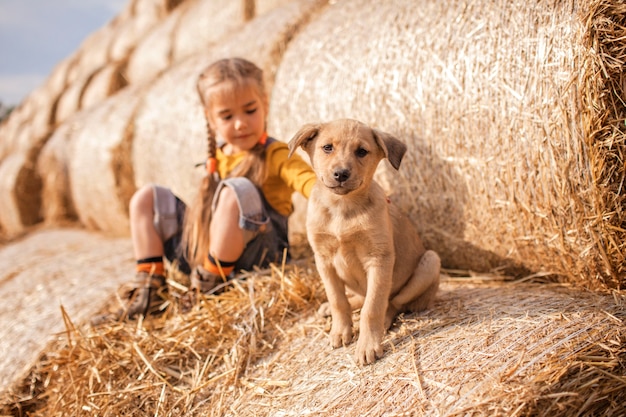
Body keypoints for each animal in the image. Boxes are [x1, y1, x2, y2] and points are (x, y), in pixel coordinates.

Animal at [288, 118, 438, 364]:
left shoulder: (379, 259)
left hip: (430, 262)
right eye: (327, 147)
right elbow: (338, 300)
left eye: (361, 151)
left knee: (392, 302)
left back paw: (384, 322)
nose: (341, 174)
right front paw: (341, 330)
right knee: (359, 297)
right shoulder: (323, 260)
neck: (342, 209)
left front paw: (367, 345)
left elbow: (373, 306)